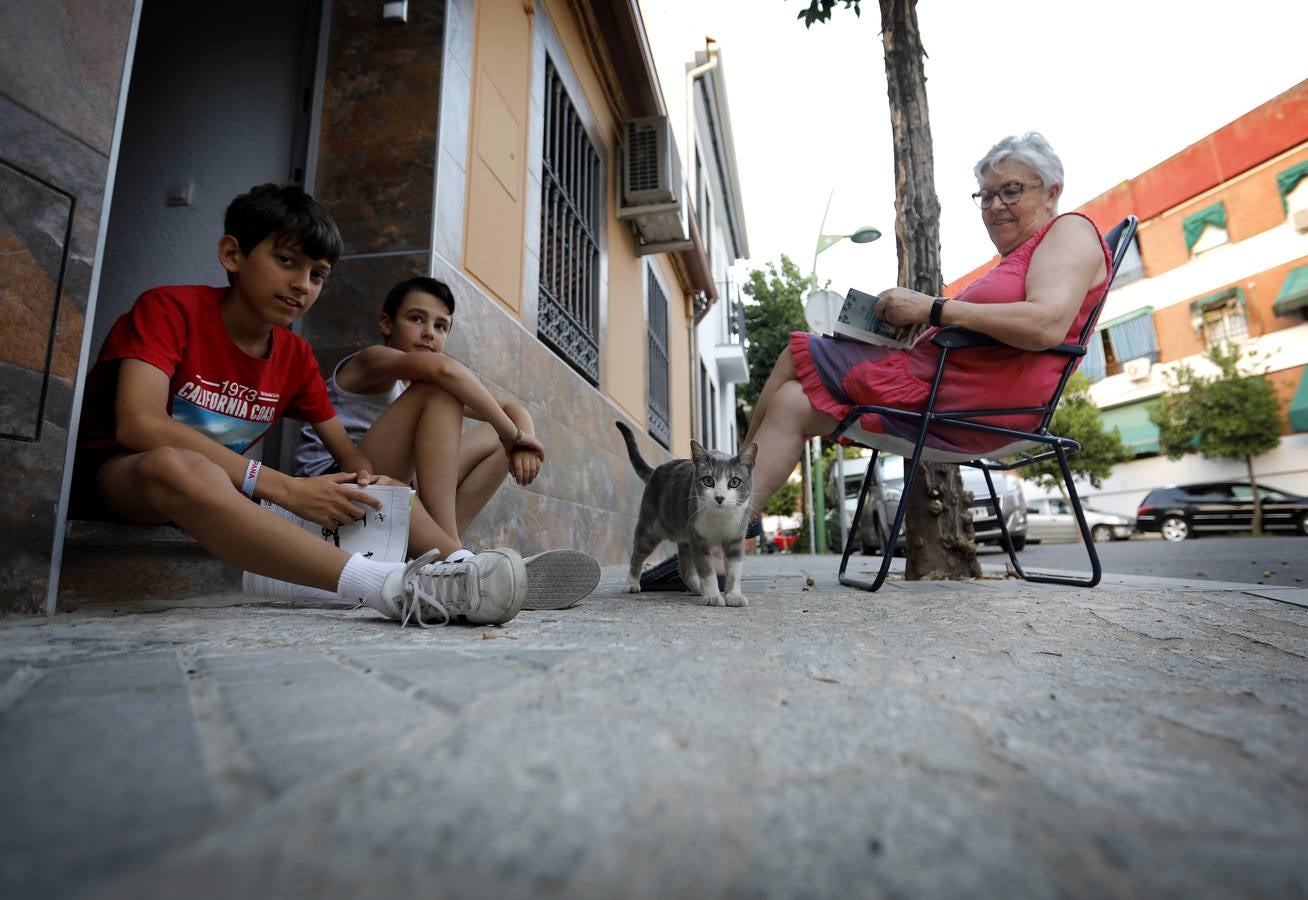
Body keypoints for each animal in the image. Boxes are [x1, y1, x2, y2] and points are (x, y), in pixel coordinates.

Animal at [617, 421, 763, 604]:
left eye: (735, 482)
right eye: (708, 481)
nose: (720, 497)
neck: (720, 518)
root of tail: (656, 471)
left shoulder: (735, 536)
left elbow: (735, 569)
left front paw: (733, 595)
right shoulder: (698, 537)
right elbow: (706, 570)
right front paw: (713, 595)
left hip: (684, 535)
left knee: (684, 566)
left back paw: (697, 588)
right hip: (651, 527)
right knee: (638, 553)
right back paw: (631, 583)